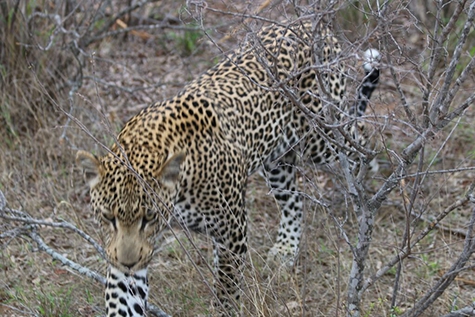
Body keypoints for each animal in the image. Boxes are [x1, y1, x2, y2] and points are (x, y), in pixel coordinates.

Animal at [78, 18, 382, 314]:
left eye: (149, 218)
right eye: (108, 217)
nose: (128, 263)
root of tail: (315, 27)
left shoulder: (231, 231)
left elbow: (227, 289)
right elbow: (122, 299)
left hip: (320, 136)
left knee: (359, 133)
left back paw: (369, 177)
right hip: (276, 157)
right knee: (294, 200)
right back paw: (286, 249)